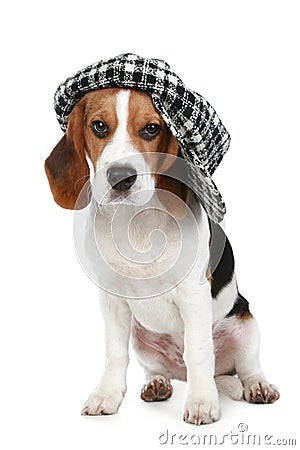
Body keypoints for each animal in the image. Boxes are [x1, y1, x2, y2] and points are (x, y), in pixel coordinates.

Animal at [44, 86, 278, 424]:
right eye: (99, 126)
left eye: (152, 128)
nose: (121, 177)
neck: (136, 220)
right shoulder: (111, 298)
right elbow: (114, 354)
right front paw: (107, 395)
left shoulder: (193, 294)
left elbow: (198, 352)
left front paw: (201, 402)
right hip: (141, 339)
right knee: (156, 369)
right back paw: (156, 384)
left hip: (246, 325)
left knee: (245, 367)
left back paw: (258, 386)